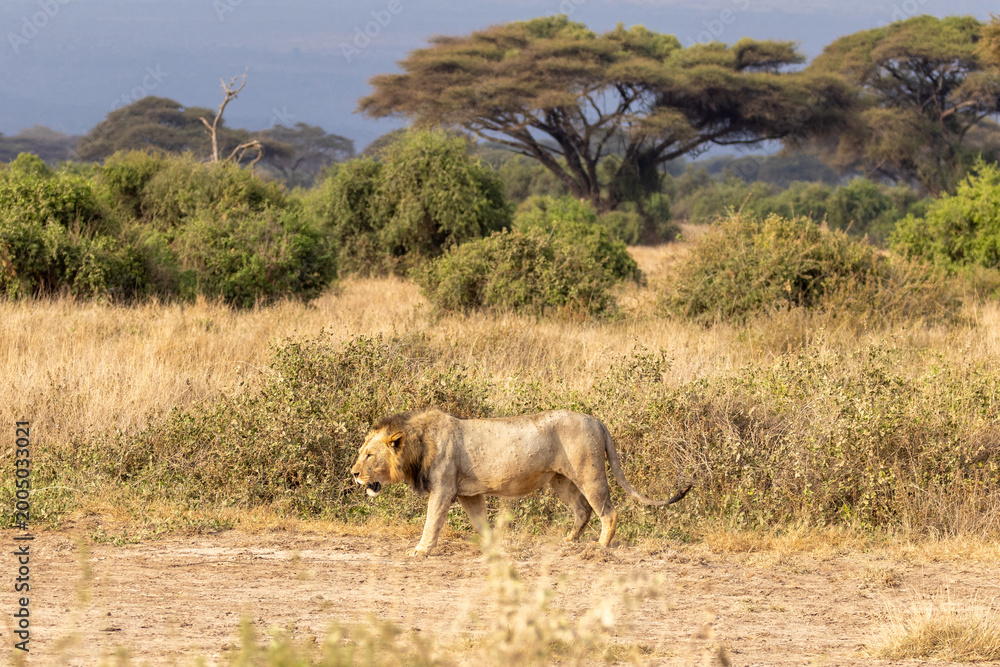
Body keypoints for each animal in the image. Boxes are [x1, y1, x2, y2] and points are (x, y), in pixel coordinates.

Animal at [350, 408, 691, 557]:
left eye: (368, 455)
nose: (353, 473)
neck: (417, 445)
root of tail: (596, 420)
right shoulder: (468, 494)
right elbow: (480, 521)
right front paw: (492, 546)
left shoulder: (444, 489)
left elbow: (431, 522)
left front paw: (421, 550)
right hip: (559, 481)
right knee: (583, 510)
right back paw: (570, 541)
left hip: (590, 473)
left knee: (608, 511)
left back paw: (600, 546)